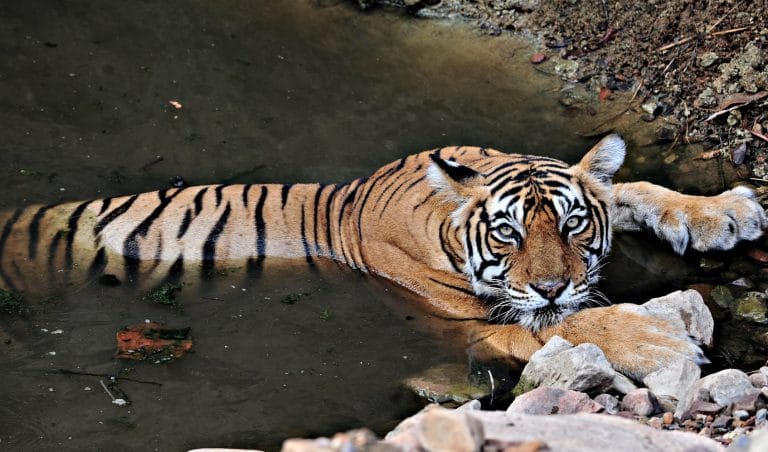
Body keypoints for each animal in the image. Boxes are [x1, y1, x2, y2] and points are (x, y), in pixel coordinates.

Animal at [0, 134, 765, 380]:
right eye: (508, 235)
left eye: (575, 225)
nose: (552, 284)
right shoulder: (464, 321)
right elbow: (570, 323)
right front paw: (660, 340)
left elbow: (632, 188)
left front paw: (726, 211)